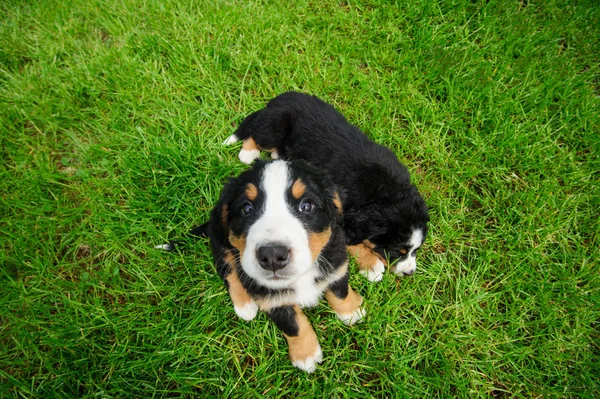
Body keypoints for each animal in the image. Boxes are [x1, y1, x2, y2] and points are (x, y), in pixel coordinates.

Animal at [161, 160, 366, 376]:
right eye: (246, 209)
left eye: (306, 206)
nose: (273, 255)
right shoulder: (269, 299)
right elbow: (292, 325)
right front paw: (305, 354)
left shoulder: (336, 262)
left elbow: (340, 291)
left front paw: (350, 312)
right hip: (220, 241)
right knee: (228, 270)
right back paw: (244, 306)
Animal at [223, 92, 428, 282]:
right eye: (397, 251)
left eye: (416, 250)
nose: (410, 272)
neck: (386, 191)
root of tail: (277, 100)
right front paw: (372, 267)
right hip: (272, 129)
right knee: (255, 134)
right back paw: (248, 153)